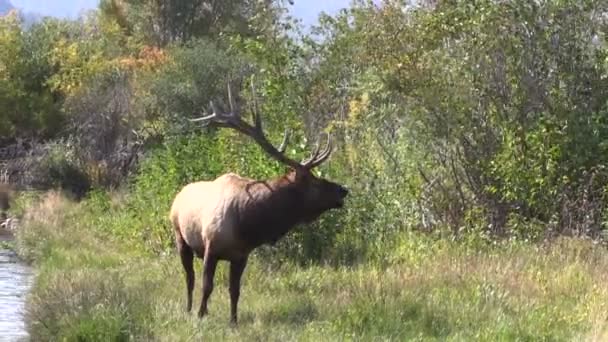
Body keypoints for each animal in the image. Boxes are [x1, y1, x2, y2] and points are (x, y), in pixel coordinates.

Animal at [171, 85, 350, 324]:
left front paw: (233, 321)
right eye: (314, 181)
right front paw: (200, 316)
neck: (246, 224)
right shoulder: (211, 247)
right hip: (180, 237)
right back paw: (190, 308)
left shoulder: (241, 255)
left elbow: (234, 290)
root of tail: (178, 196)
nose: (343, 189)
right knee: (189, 278)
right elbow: (206, 286)